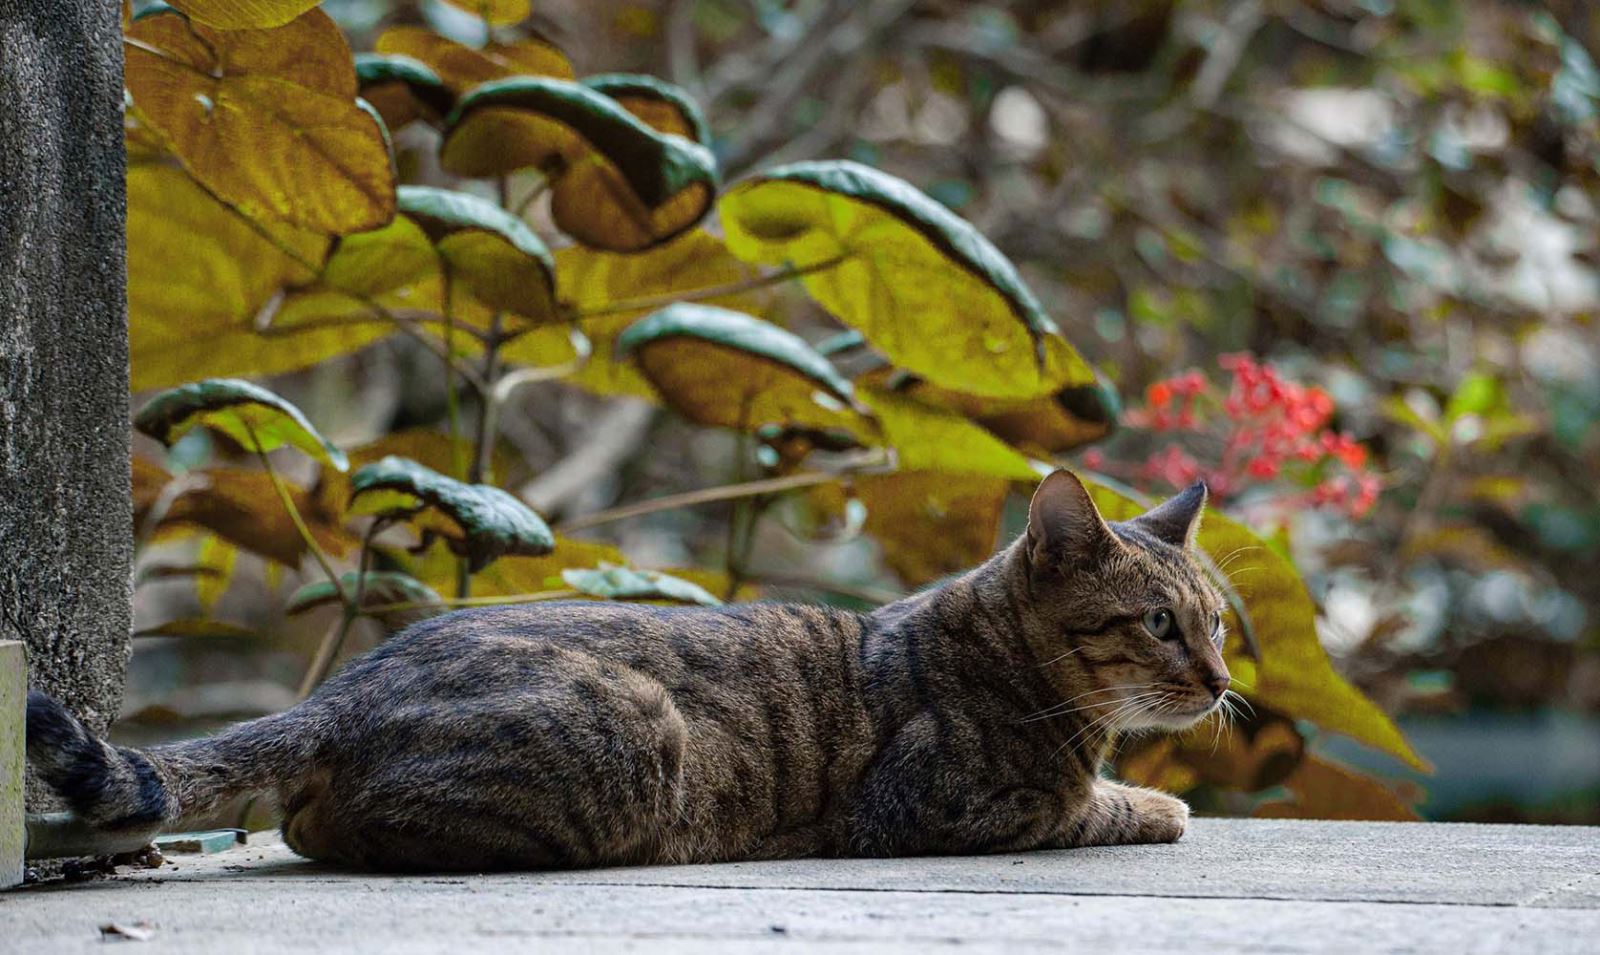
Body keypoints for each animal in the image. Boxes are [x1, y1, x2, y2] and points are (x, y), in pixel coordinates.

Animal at [25, 470, 1228, 870]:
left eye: (1220, 621)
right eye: (1159, 623)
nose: (1220, 681)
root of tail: (344, 687)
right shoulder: (942, 805)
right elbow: (1096, 806)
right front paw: (1157, 801)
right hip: (637, 728)